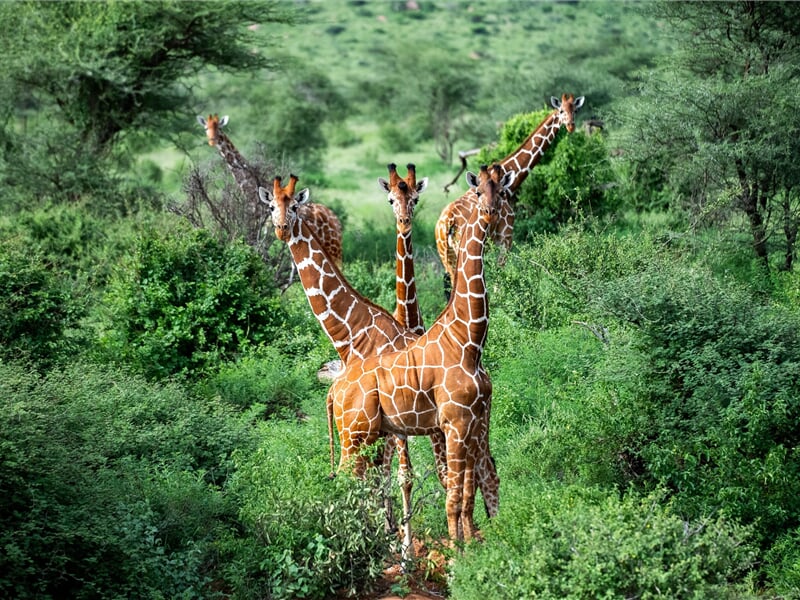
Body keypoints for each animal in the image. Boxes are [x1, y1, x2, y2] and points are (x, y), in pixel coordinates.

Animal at [198, 114, 344, 268]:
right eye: (206, 128)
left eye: (218, 128)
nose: (212, 140)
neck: (251, 187)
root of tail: (336, 221)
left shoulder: (259, 223)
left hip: (333, 248)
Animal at [330, 164, 512, 548]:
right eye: (477, 192)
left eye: (501, 191)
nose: (489, 214)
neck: (469, 341)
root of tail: (334, 390)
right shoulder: (455, 423)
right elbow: (453, 496)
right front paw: (459, 553)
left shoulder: (473, 422)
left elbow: (466, 492)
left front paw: (470, 545)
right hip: (355, 435)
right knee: (345, 483)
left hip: (367, 436)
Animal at [434, 94, 584, 298]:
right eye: (561, 111)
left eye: (574, 110)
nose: (570, 125)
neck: (510, 182)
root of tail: (447, 223)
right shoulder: (506, 238)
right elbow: (500, 275)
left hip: (445, 255)